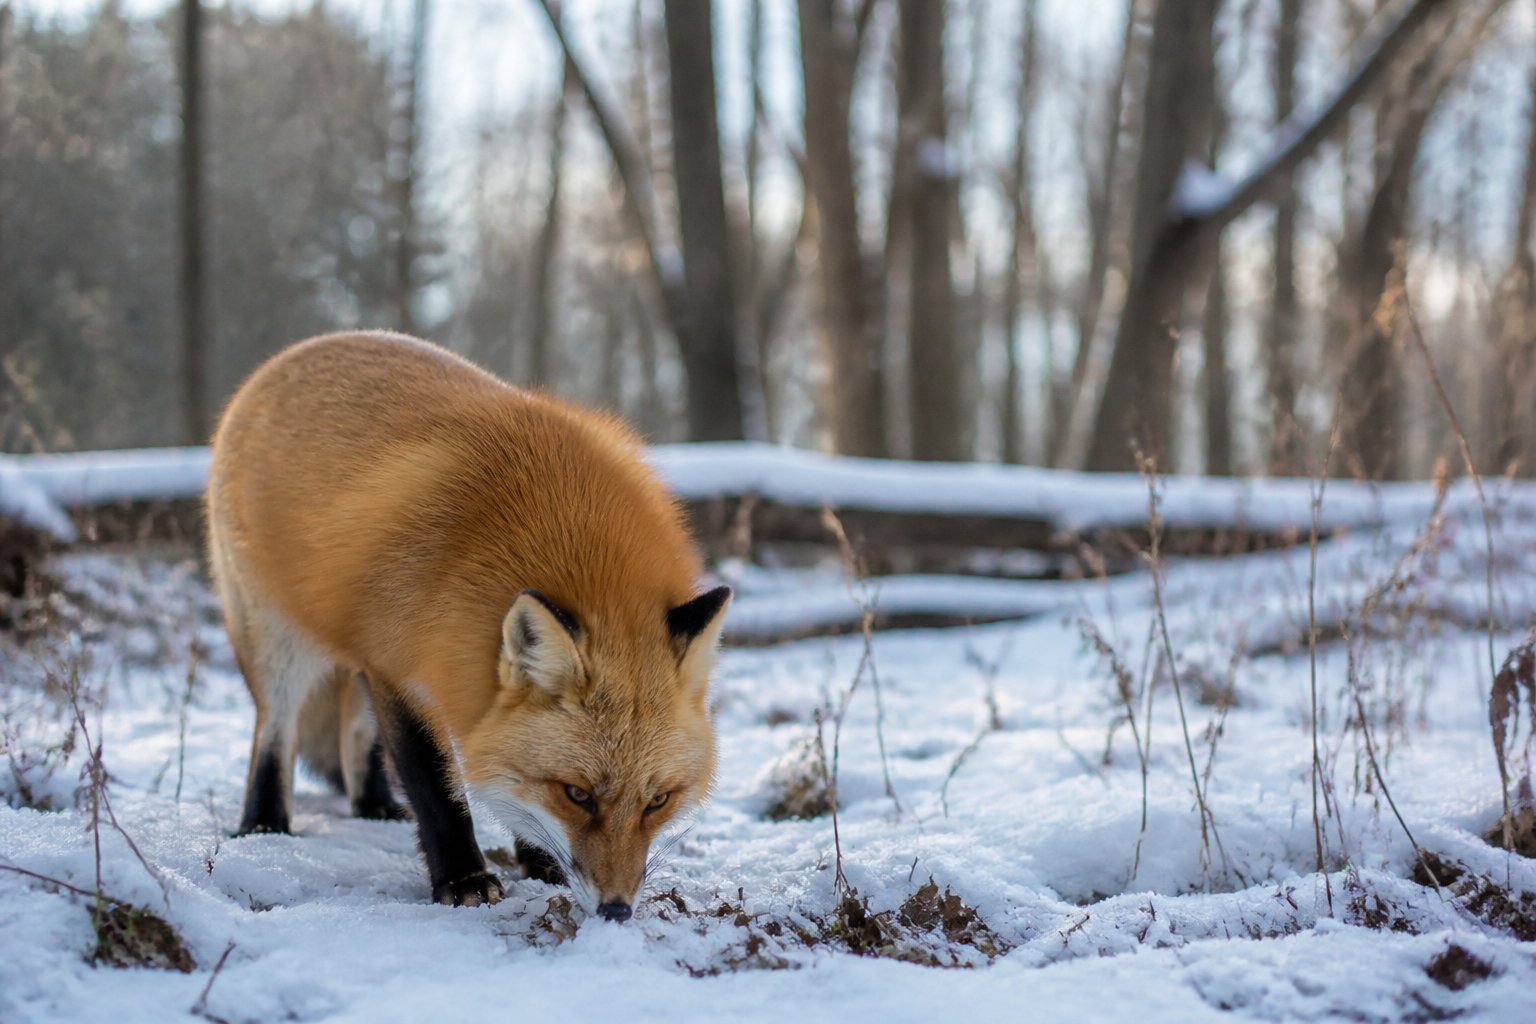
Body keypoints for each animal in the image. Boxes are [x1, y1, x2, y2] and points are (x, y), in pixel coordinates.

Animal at [205, 331, 730, 920]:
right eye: (577, 794)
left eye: (657, 801)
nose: (616, 910)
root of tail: (300, 350)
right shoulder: (398, 669)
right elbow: (437, 787)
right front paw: (464, 880)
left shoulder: (410, 670)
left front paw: (541, 866)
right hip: (278, 640)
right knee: (274, 731)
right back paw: (264, 826)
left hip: (353, 651)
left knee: (354, 733)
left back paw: (374, 806)